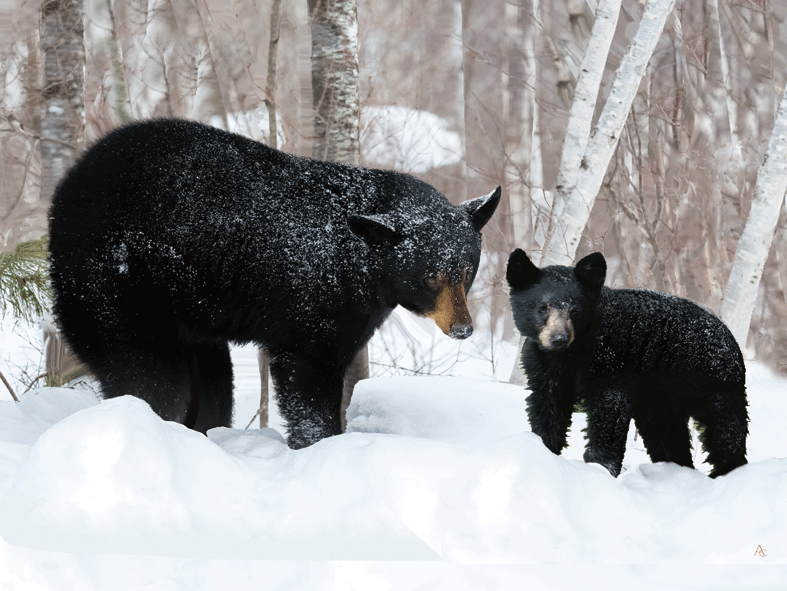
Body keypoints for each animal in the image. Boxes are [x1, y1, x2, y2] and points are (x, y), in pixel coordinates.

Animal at [48, 118, 500, 449]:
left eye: (467, 270)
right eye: (430, 275)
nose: (463, 328)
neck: (358, 262)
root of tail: (66, 190)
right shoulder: (312, 306)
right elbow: (308, 376)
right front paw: (321, 446)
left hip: (190, 322)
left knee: (212, 389)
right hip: (116, 289)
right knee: (149, 378)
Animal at [506, 248, 748, 478]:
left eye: (575, 310)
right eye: (543, 307)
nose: (559, 339)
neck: (572, 352)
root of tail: (731, 339)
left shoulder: (611, 363)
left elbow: (609, 415)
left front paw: (601, 468)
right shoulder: (544, 366)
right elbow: (548, 408)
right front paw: (543, 452)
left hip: (715, 384)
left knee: (725, 429)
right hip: (661, 397)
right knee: (666, 433)